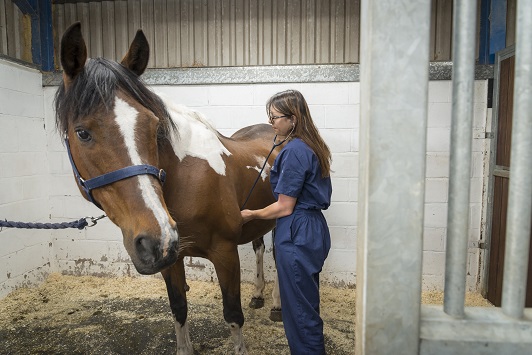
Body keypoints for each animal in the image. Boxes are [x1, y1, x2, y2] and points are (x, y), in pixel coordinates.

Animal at [55, 23, 282, 354]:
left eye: (154, 127)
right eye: (82, 132)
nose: (156, 239)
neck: (188, 180)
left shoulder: (225, 253)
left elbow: (232, 315)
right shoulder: (170, 260)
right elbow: (179, 309)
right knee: (260, 247)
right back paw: (259, 294)